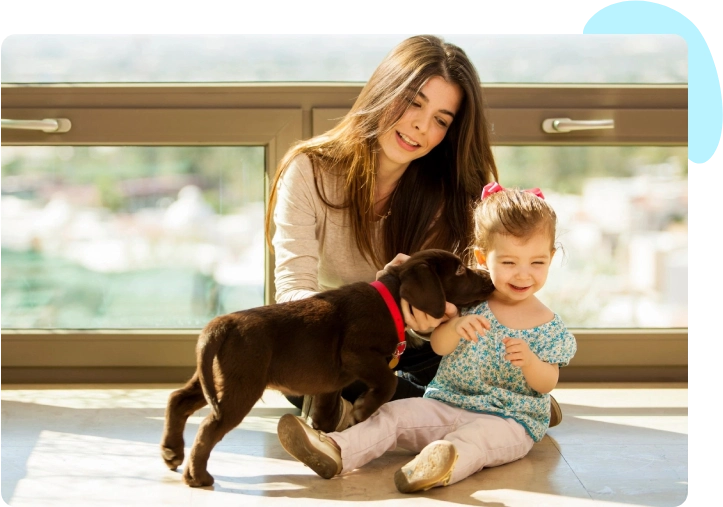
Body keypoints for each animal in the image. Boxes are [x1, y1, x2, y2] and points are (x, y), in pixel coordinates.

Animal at [160, 250, 494, 488]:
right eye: (460, 271)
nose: (490, 281)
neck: (392, 302)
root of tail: (223, 323)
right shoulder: (355, 353)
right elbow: (386, 381)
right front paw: (362, 411)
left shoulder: (329, 385)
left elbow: (325, 414)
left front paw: (323, 437)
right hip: (241, 385)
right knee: (209, 426)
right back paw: (197, 476)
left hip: (216, 379)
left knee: (178, 399)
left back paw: (171, 451)